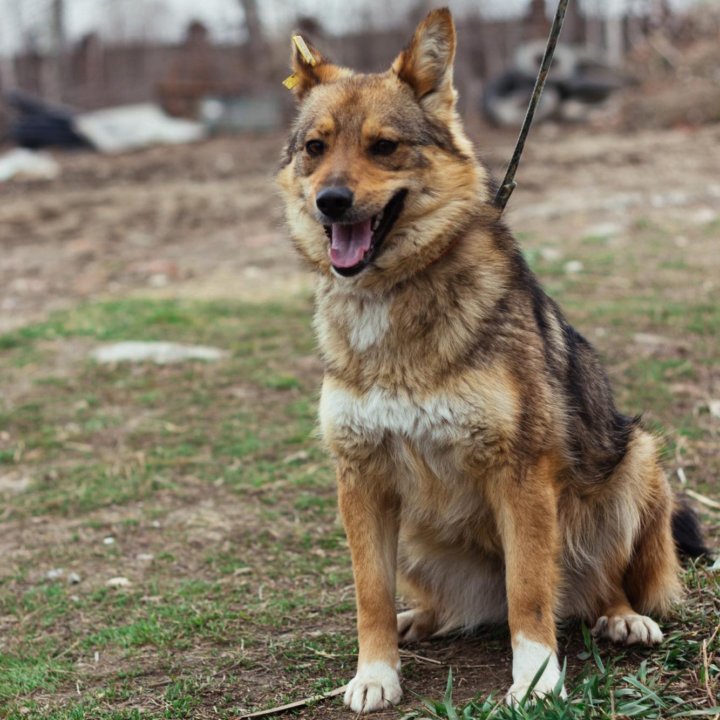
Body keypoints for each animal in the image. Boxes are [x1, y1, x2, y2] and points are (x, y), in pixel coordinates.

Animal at [278, 7, 708, 716]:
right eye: (315, 148)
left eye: (384, 147)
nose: (330, 202)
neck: (395, 298)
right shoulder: (360, 477)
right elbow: (369, 592)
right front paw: (376, 673)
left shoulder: (521, 473)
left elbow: (529, 592)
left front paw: (535, 681)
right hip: (414, 536)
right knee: (447, 605)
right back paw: (418, 621)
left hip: (636, 464)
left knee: (599, 585)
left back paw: (622, 617)